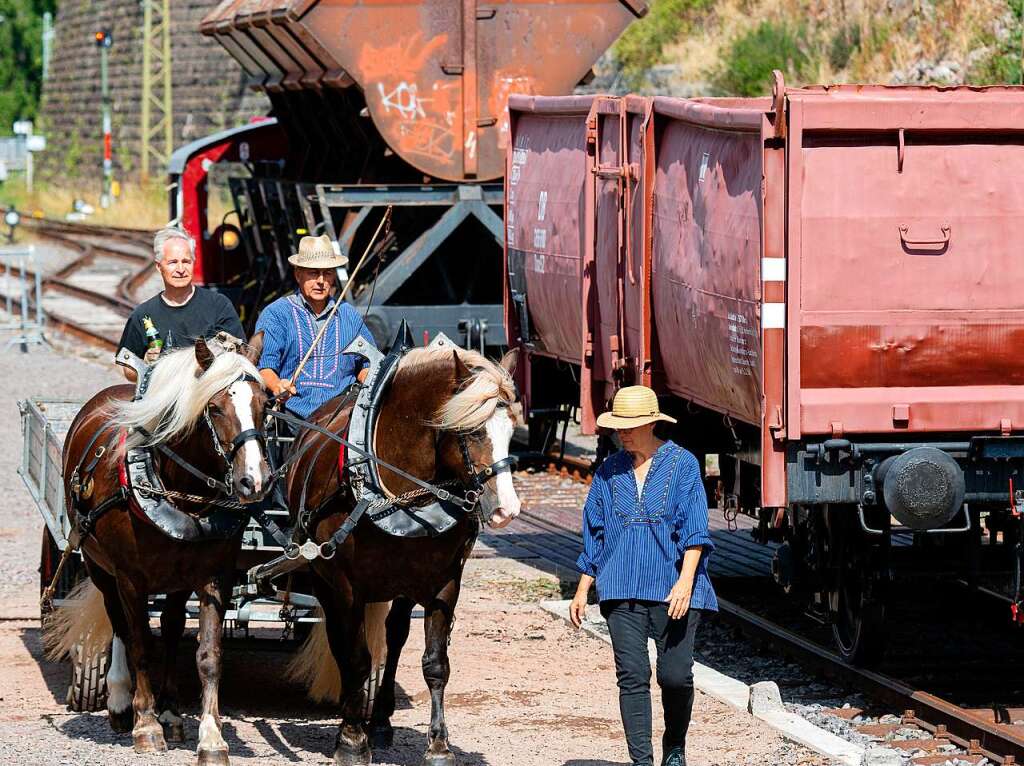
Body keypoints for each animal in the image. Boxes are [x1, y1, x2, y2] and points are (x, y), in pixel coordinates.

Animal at [47, 339, 272, 766]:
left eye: (265, 405)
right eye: (215, 408)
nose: (254, 481)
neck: (177, 488)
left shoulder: (213, 576)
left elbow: (208, 655)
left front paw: (211, 738)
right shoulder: (130, 578)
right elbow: (139, 646)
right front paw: (146, 726)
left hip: (176, 578)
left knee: (169, 627)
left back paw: (170, 711)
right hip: (100, 568)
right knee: (119, 624)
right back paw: (123, 703)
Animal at [288, 346, 524, 766]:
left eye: (512, 429)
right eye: (471, 432)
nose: (506, 510)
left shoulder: (445, 582)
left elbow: (435, 663)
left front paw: (439, 745)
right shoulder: (344, 587)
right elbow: (356, 659)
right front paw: (351, 740)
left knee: (395, 635)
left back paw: (380, 721)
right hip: (326, 582)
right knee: (344, 645)